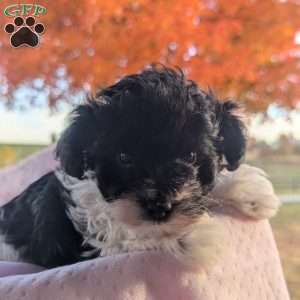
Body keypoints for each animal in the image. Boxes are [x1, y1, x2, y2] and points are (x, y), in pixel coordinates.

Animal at [0, 67, 280, 268]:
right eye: (124, 157)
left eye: (191, 156)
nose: (160, 206)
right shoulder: (78, 242)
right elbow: (119, 234)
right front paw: (193, 236)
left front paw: (248, 188)